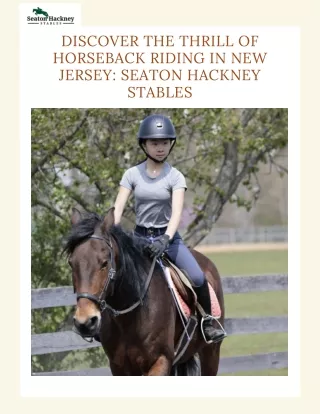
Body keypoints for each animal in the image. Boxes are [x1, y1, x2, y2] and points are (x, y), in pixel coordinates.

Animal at [65, 207, 225, 376]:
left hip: (211, 353)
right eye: (71, 263)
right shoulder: (119, 367)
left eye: (104, 263)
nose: (85, 322)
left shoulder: (160, 360)